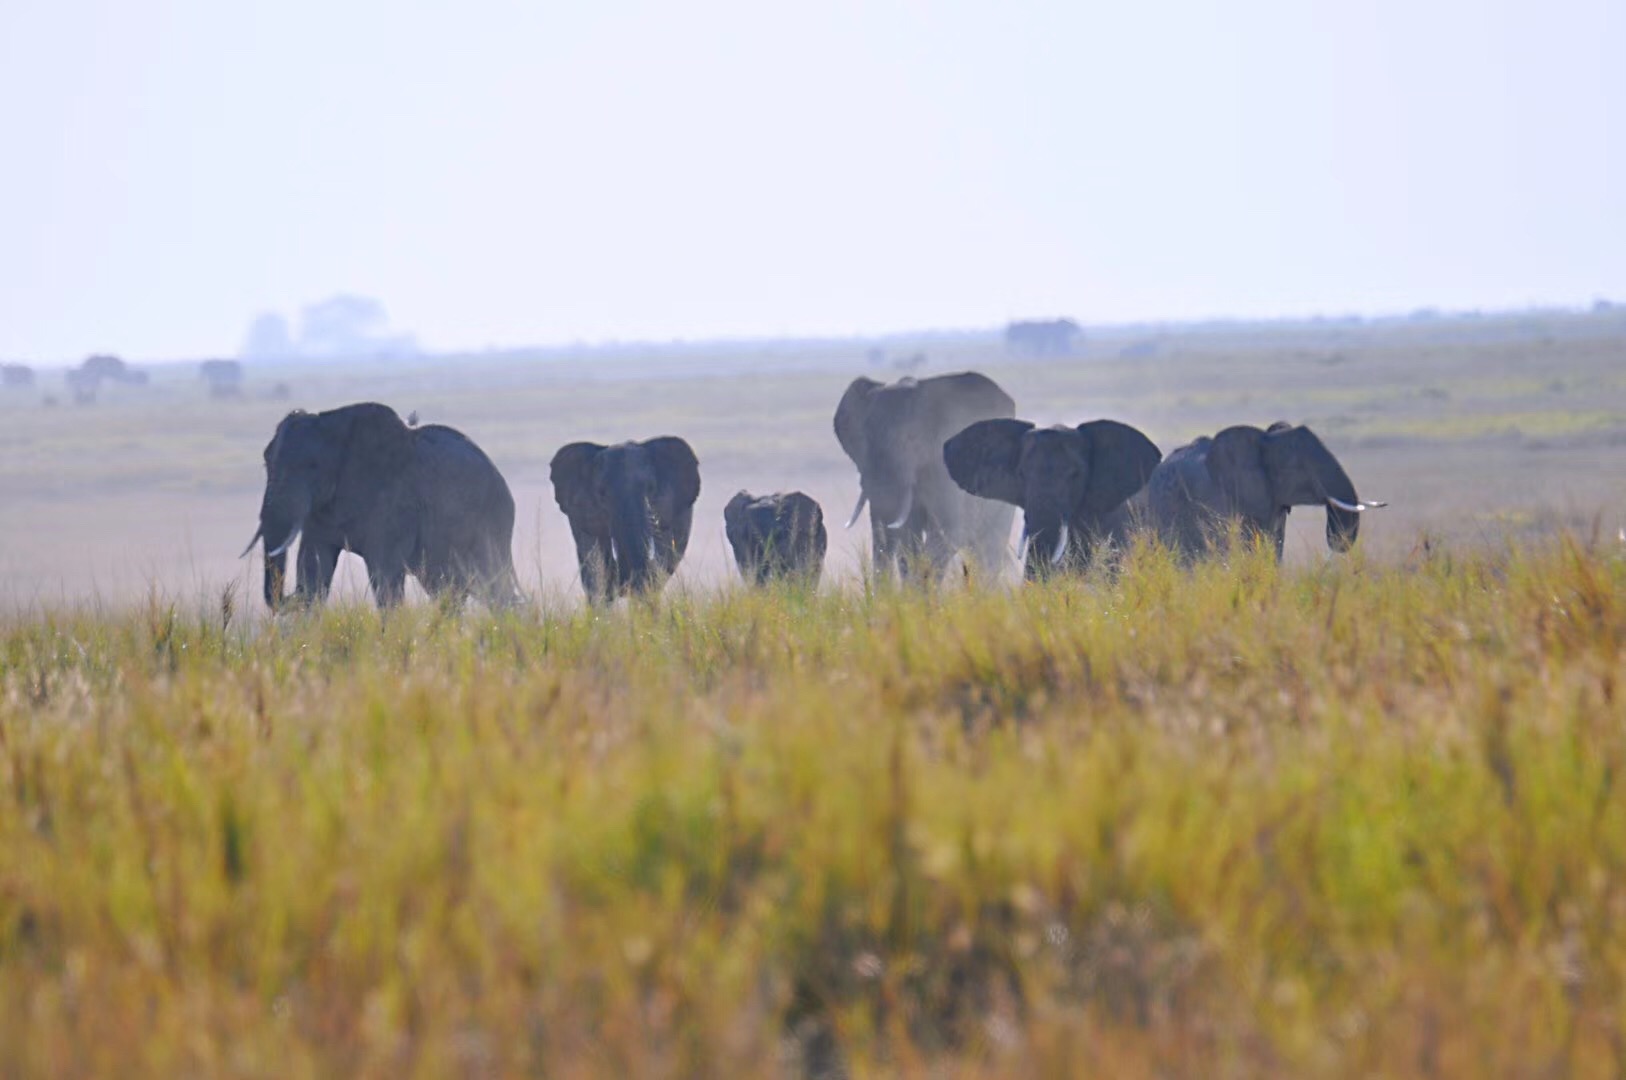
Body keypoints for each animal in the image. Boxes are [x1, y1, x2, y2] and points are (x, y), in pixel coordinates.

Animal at [242, 403, 513, 608]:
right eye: (266, 463)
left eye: (312, 466)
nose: (291, 596)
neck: (333, 424)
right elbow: (314, 563)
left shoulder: (395, 503)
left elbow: (384, 573)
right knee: (447, 590)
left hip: (491, 524)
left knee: (493, 586)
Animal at [839, 369, 1014, 579]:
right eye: (860, 441)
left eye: (911, 441)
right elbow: (907, 536)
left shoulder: (945, 466)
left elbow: (948, 530)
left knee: (990, 545)